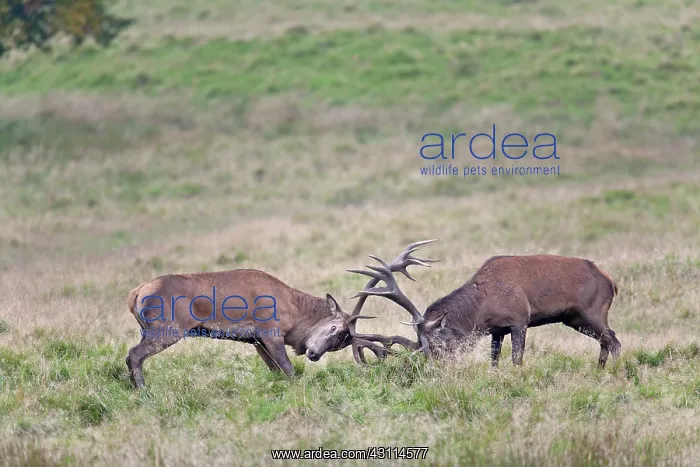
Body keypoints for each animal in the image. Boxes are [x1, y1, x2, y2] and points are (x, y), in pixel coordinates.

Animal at [345, 240, 622, 368]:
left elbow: (517, 359)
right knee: (606, 340)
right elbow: (494, 361)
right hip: (575, 319)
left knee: (614, 340)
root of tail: (611, 281)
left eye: (438, 346)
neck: (480, 309)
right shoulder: (496, 330)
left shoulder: (519, 319)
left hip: (593, 311)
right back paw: (599, 371)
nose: (438, 369)